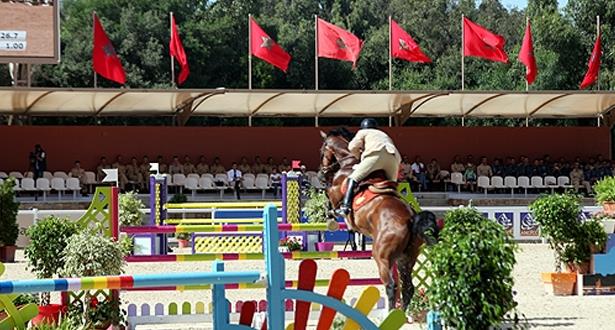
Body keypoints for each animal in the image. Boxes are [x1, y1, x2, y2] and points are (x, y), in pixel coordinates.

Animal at [318, 127, 442, 310]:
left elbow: (328, 197)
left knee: (391, 285)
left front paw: (331, 214)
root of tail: (411, 219)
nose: (320, 174)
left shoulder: (335, 193)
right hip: (407, 257)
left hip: (382, 256)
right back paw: (401, 314)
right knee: (408, 287)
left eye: (322, 152)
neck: (348, 163)